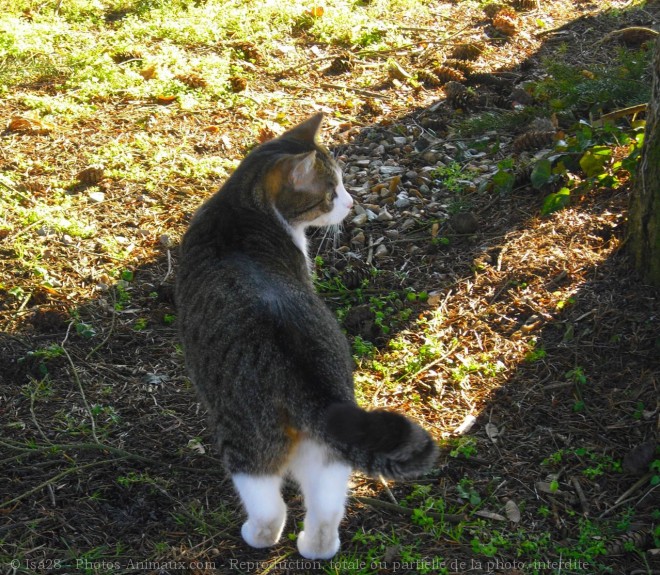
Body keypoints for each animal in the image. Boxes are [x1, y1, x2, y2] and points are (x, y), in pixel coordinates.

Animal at [175, 115, 438, 560]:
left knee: (270, 508)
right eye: (332, 192)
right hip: (326, 451)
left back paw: (257, 536)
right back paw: (315, 548)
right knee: (327, 508)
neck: (240, 208)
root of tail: (309, 383)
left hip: (246, 440)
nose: (350, 204)